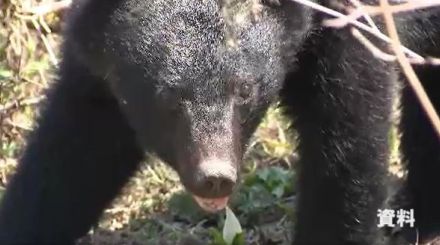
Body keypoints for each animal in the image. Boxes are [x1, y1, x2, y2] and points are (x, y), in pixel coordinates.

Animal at [0, 0, 440, 244]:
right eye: (168, 97)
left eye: (243, 90)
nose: (214, 177)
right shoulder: (97, 63)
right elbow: (73, 156)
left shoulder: (349, 29)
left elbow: (348, 150)